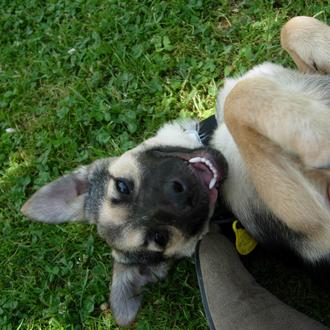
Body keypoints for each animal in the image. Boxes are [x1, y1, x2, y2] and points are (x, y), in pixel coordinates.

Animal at [21, 16, 330, 326]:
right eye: (159, 238)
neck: (211, 136)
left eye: (122, 186)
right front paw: (316, 132)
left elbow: (291, 27)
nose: (180, 191)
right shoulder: (315, 224)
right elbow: (239, 99)